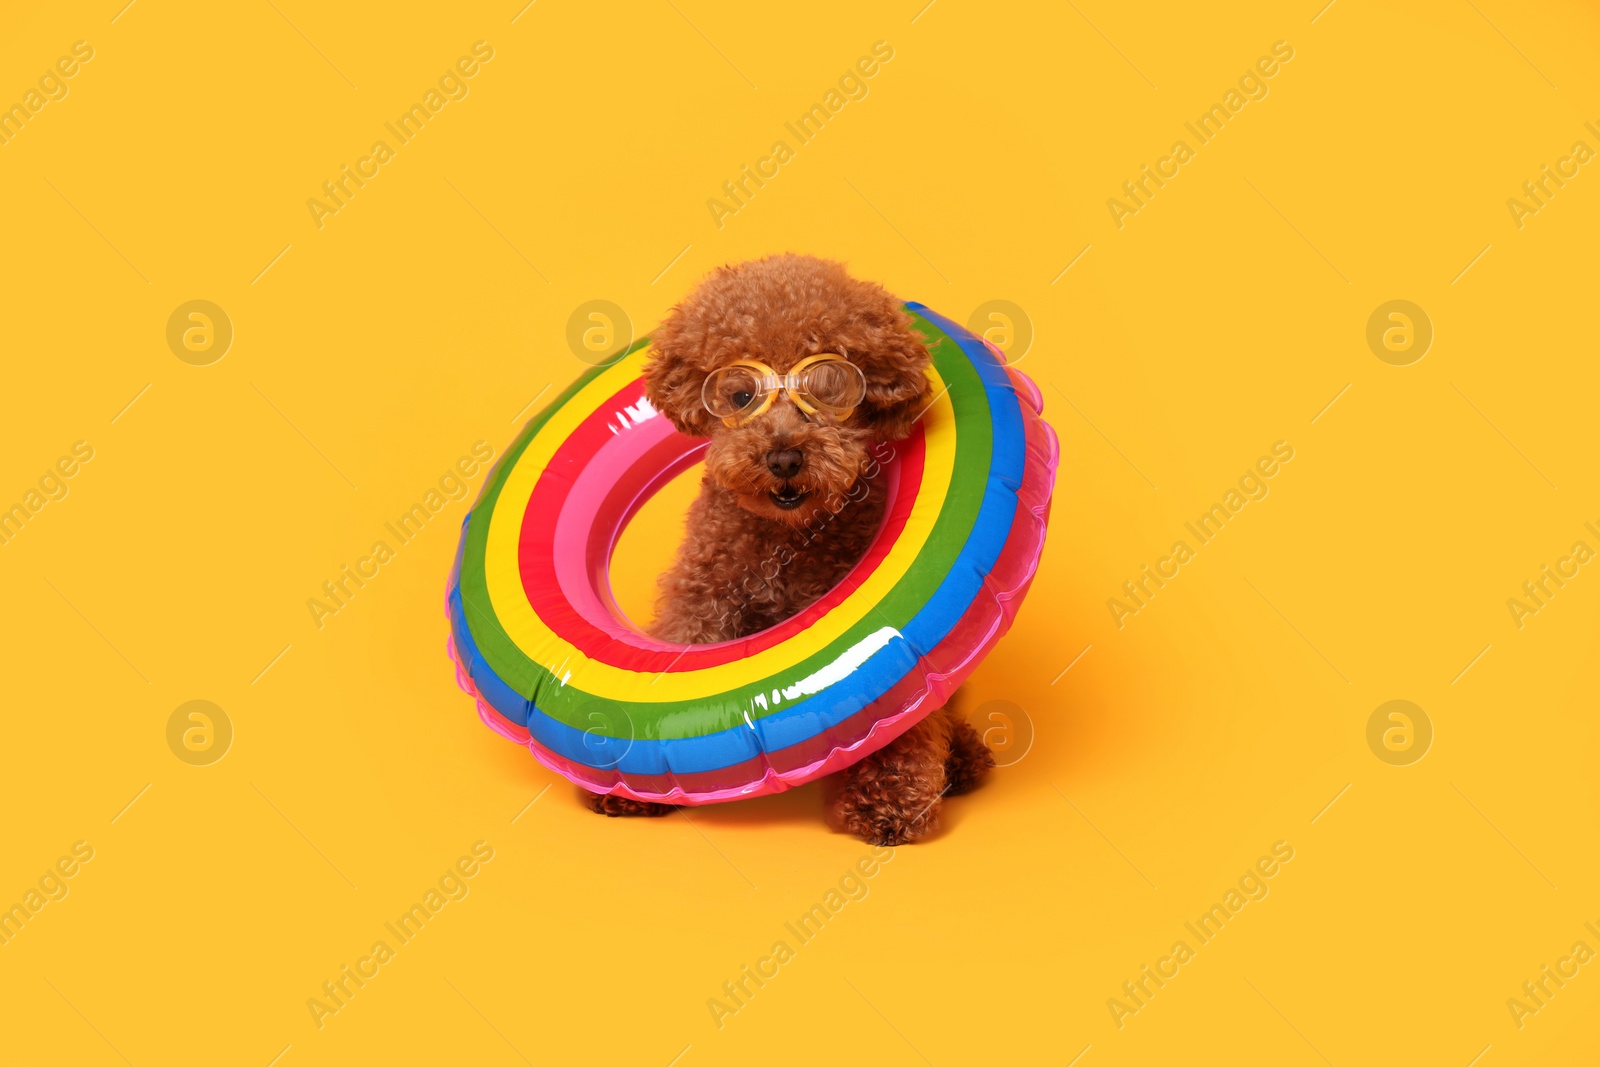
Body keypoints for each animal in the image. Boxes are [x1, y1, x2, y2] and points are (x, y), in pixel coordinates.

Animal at [582, 254, 992, 844]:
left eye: (826, 390)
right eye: (740, 396)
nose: (783, 457)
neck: (786, 537)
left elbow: (900, 716)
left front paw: (889, 801)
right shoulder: (704, 597)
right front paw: (630, 789)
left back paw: (963, 758)